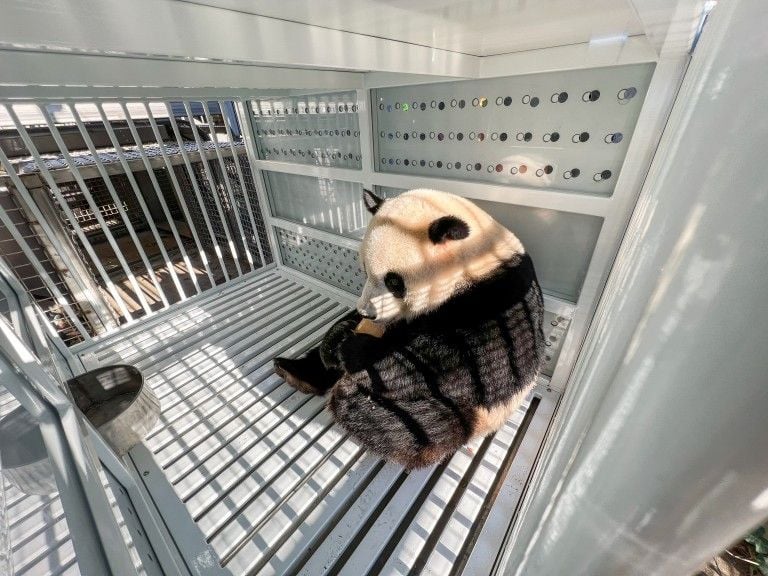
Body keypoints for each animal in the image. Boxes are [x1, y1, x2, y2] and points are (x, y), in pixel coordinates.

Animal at [272, 189, 544, 468]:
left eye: (394, 282)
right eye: (364, 270)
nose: (368, 313)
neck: (473, 263)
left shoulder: (498, 298)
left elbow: (460, 363)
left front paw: (353, 351)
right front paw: (338, 339)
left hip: (471, 413)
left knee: (416, 427)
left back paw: (353, 402)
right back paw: (294, 371)